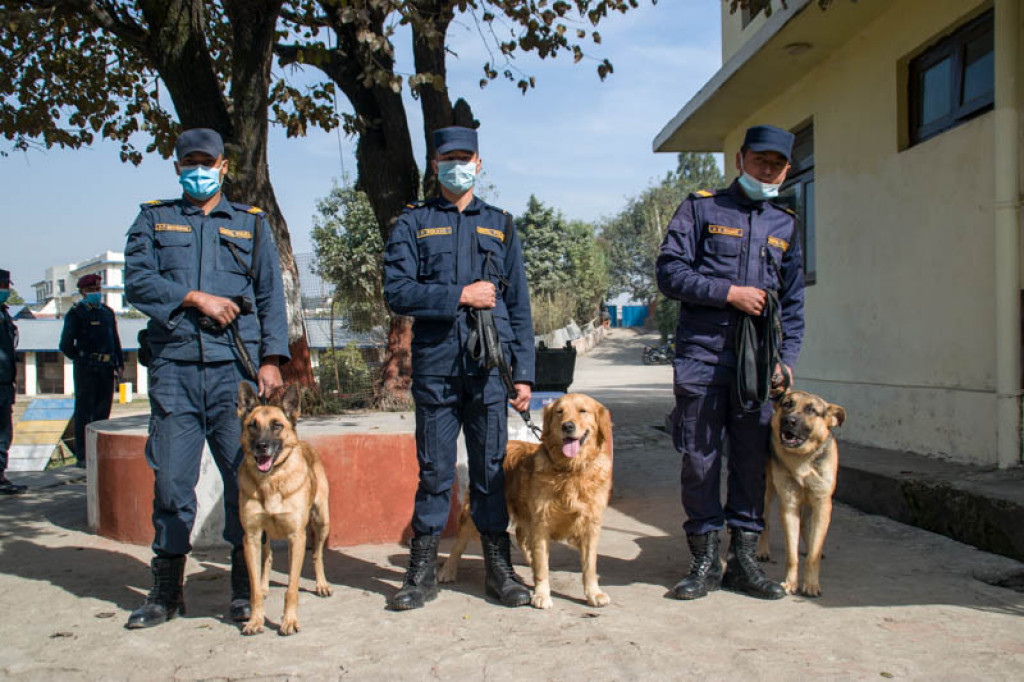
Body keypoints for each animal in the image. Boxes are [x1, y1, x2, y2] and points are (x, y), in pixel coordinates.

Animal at [236, 382, 329, 630]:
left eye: (277, 425)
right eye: (252, 425)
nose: (261, 446)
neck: (271, 481)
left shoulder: (296, 536)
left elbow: (292, 588)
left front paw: (289, 621)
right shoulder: (251, 536)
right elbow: (254, 588)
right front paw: (255, 620)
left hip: (322, 522)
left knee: (317, 555)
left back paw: (322, 584)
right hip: (265, 535)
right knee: (267, 557)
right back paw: (265, 586)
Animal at [436, 391, 610, 606]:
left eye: (583, 411)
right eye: (559, 411)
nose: (567, 426)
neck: (570, 470)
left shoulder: (590, 524)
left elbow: (589, 565)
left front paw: (593, 592)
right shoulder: (542, 521)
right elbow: (543, 565)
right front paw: (542, 594)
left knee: (520, 535)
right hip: (473, 513)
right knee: (459, 544)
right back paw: (448, 570)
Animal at [757, 387, 843, 593]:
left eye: (811, 410)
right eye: (787, 404)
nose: (789, 421)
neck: (801, 458)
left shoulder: (822, 504)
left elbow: (813, 552)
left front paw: (811, 584)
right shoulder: (790, 504)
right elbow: (791, 554)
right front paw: (790, 583)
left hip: (810, 503)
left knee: (806, 525)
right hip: (767, 491)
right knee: (765, 522)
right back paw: (762, 550)